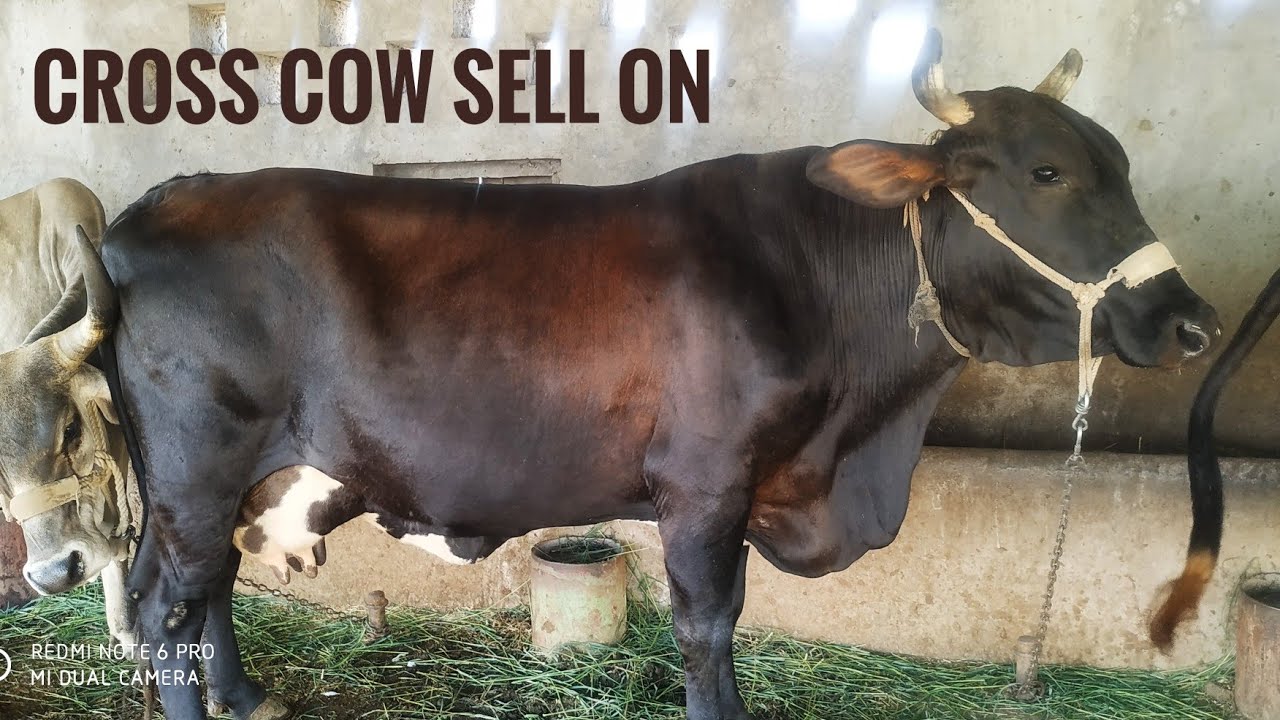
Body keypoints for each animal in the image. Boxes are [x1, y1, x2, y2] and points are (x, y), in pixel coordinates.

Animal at [12, 32, 1222, 720]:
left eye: (1116, 161)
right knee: (168, 603)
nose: (1193, 321)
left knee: (206, 587)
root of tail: (156, 205)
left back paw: (250, 696)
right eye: (1047, 171)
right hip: (196, 464)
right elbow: (707, 625)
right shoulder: (705, 481)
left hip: (237, 473)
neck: (863, 443)